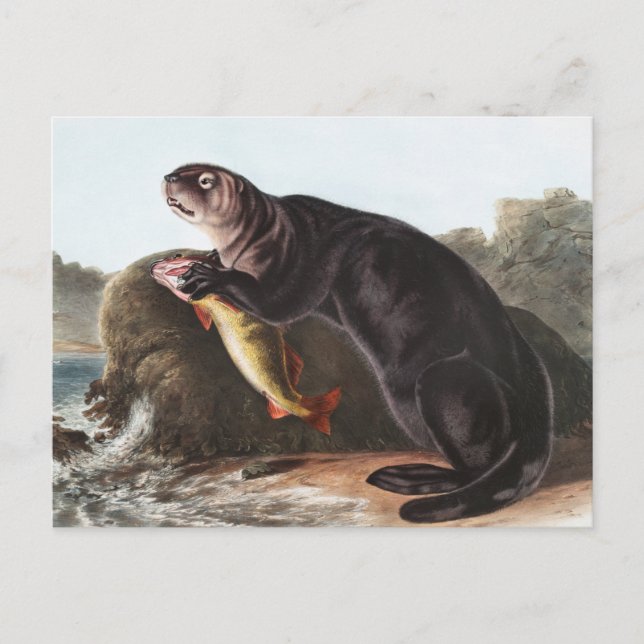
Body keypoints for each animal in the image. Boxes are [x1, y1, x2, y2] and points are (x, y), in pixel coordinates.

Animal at [162, 163, 554, 523]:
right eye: (182, 169)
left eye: (205, 181)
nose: (169, 177)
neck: (270, 232)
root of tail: (537, 418)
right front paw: (210, 259)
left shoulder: (300, 260)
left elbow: (280, 303)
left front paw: (207, 275)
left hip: (448, 381)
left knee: (475, 463)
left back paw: (412, 477)